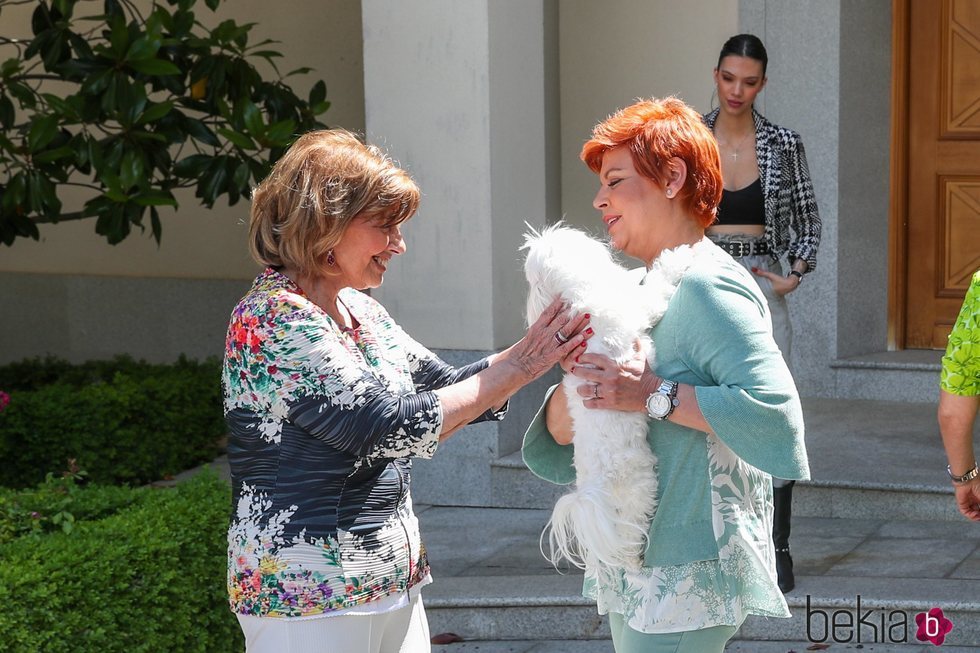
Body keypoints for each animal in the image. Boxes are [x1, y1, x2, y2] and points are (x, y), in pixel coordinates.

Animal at [520, 223, 660, 576]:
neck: (578, 295)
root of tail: (591, 491)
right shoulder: (638, 309)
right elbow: (660, 287)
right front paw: (679, 255)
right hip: (638, 486)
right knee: (632, 528)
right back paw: (634, 563)